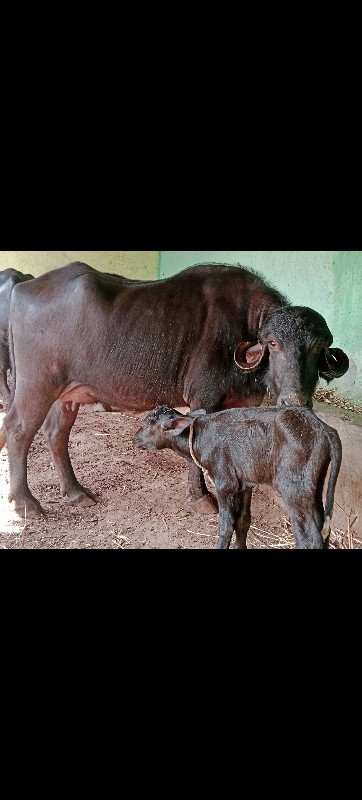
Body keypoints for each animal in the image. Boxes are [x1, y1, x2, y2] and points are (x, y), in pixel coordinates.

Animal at [0, 260, 350, 520]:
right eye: (274, 344)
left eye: (318, 347)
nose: (295, 400)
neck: (243, 327)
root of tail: (23, 287)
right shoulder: (203, 399)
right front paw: (201, 498)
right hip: (36, 384)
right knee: (18, 429)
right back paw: (26, 504)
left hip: (67, 392)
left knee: (55, 433)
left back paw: (75, 493)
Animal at [132, 406, 342, 552]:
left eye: (149, 423)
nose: (135, 438)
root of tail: (324, 428)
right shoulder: (245, 483)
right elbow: (243, 520)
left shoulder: (225, 482)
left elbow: (226, 526)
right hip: (313, 485)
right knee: (323, 528)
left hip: (294, 487)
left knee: (309, 538)